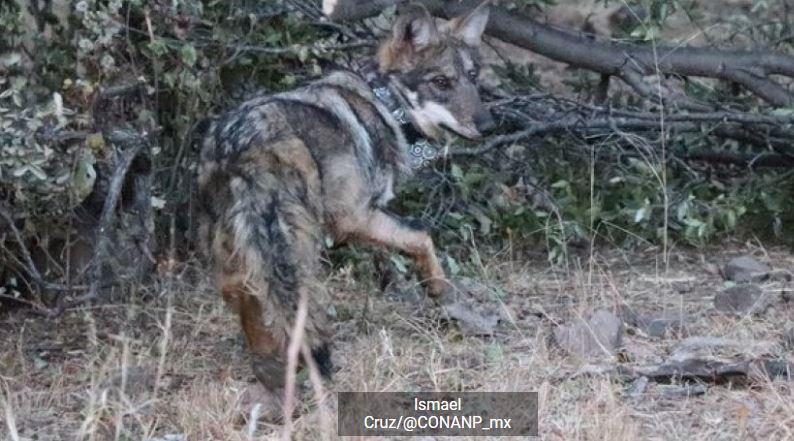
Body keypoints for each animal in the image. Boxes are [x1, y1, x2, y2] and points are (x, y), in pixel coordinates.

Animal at [196, 3, 496, 388]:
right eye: (441, 82)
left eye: (472, 76)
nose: (489, 126)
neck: (385, 105)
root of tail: (240, 144)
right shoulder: (352, 218)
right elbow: (422, 236)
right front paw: (441, 291)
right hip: (298, 245)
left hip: (237, 252)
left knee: (246, 296)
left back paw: (269, 370)